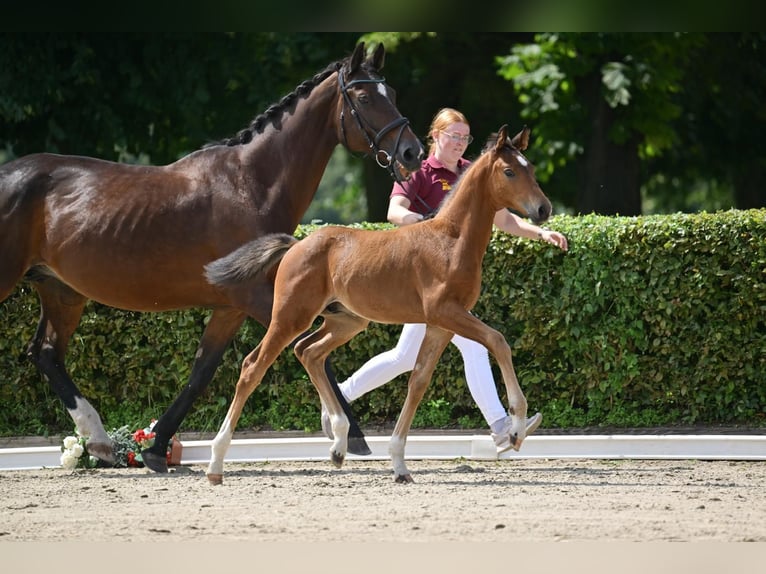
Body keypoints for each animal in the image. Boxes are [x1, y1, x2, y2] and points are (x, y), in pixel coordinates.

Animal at [0, 42, 425, 473]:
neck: (251, 184)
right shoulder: (261, 297)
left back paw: (100, 441)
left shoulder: (231, 306)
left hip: (61, 290)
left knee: (46, 354)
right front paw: (350, 435)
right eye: (365, 97)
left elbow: (200, 372)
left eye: (392, 93)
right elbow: (314, 353)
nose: (412, 151)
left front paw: (155, 448)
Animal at [203, 124, 552, 484]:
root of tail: (297, 243)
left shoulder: (440, 324)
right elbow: (499, 341)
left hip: (347, 321)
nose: (543, 209)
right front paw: (516, 429)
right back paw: (215, 463)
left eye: (531, 169)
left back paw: (339, 443)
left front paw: (399, 464)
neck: (451, 240)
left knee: (309, 352)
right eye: (509, 171)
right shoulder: (446, 312)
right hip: (290, 316)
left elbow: (418, 381)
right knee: (253, 366)